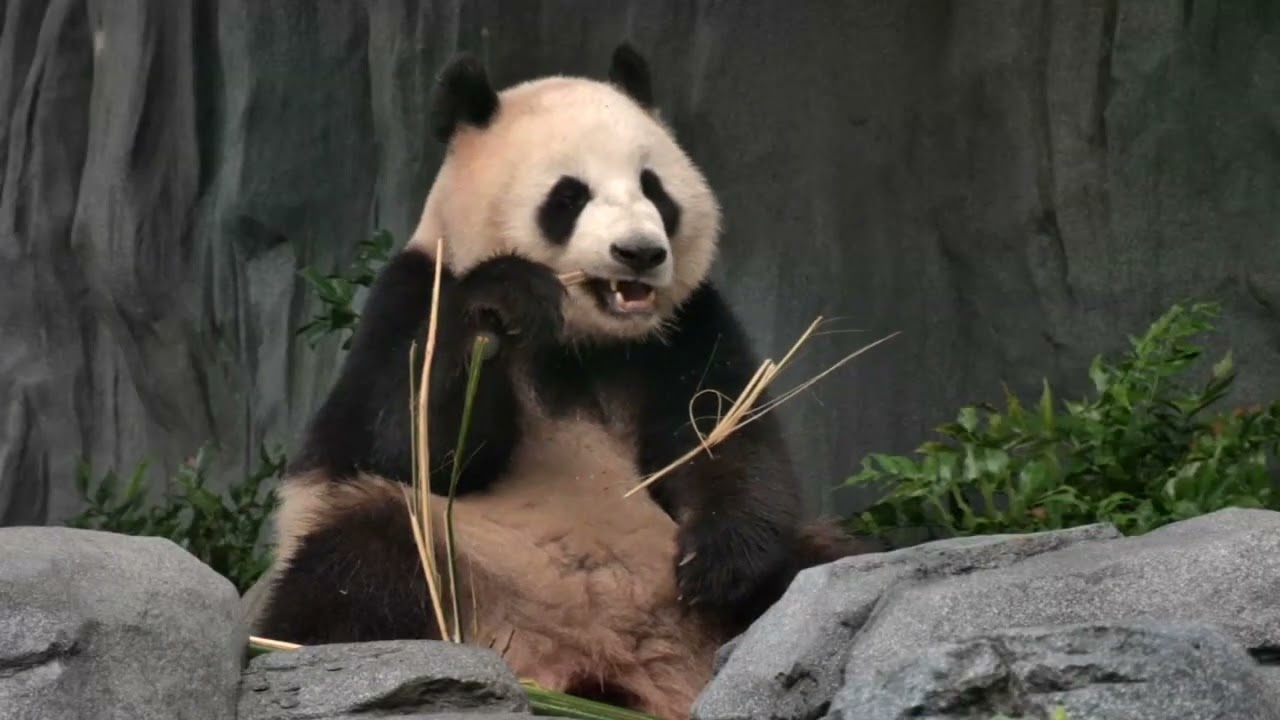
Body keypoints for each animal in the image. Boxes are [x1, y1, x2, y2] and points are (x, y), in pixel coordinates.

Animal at [250, 43, 876, 719]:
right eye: (569, 195)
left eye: (654, 188)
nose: (639, 252)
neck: (587, 338)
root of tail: (599, 664)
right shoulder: (414, 296)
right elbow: (411, 445)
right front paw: (505, 297)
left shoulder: (687, 329)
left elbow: (724, 434)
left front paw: (718, 563)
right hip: (469, 571)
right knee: (362, 552)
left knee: (820, 565)